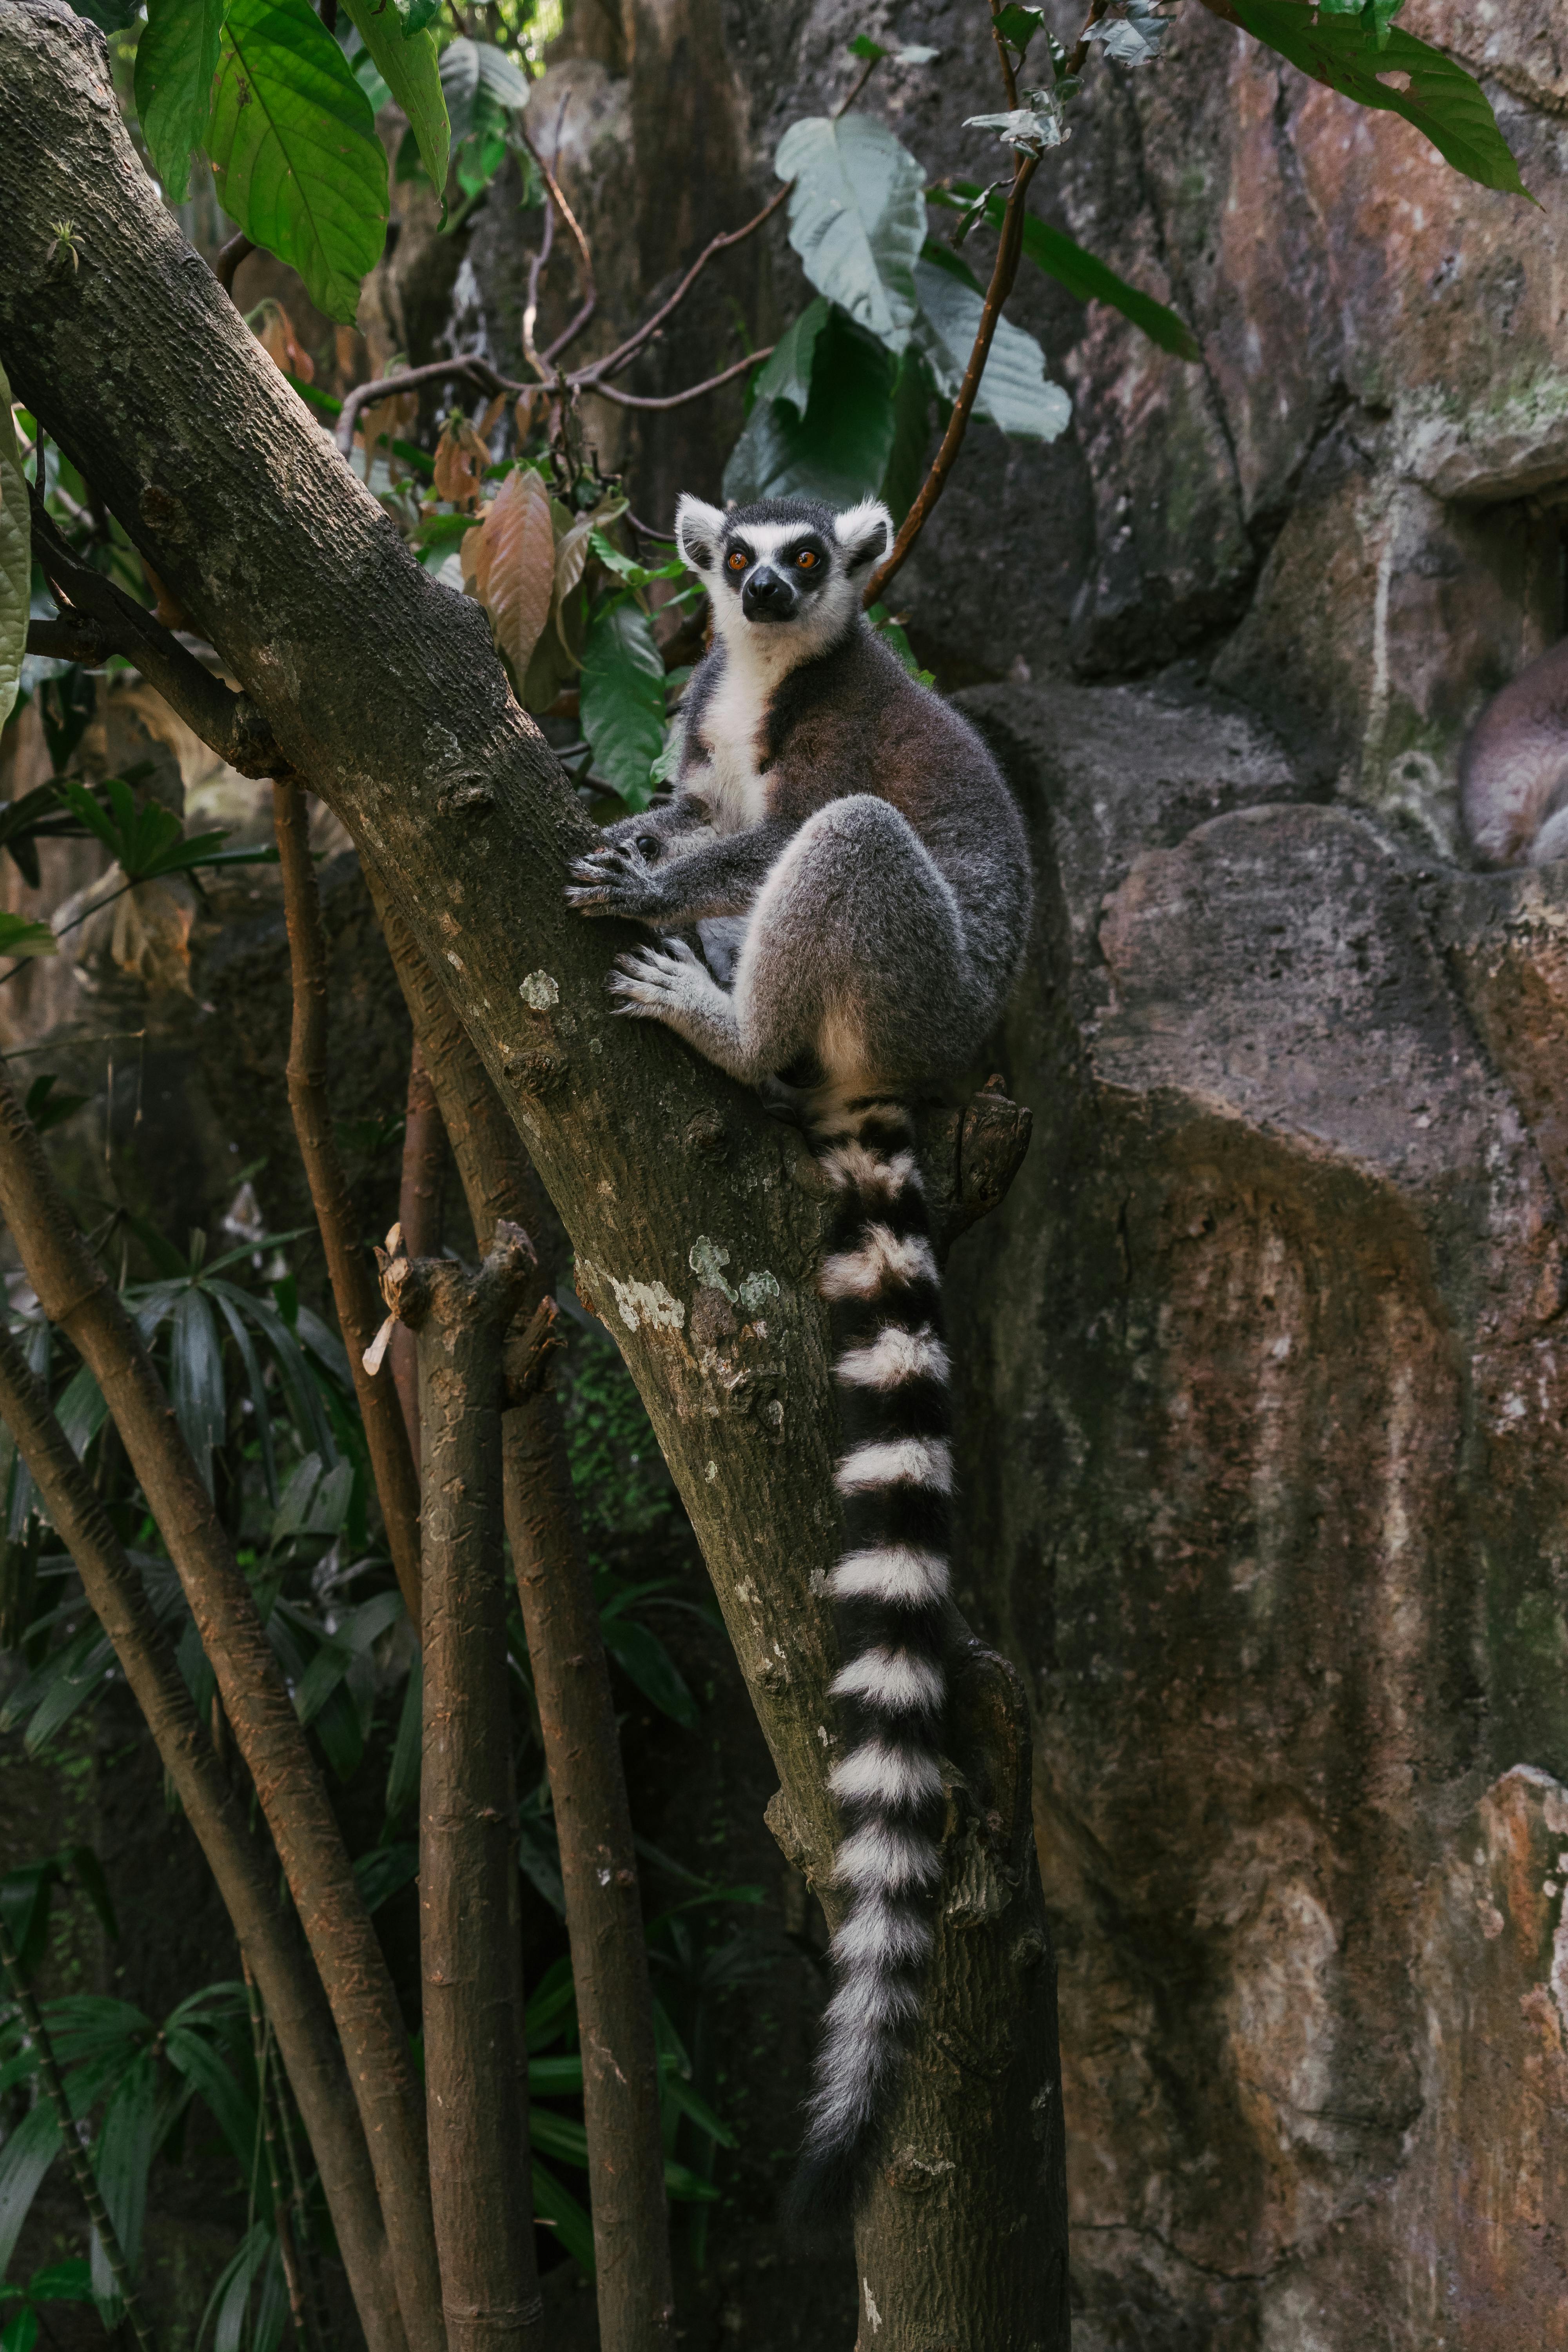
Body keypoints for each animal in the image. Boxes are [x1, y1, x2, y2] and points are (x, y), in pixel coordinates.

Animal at [564, 491, 1033, 2215]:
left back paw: (736, 1036)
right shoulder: (709, 720)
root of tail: (930, 1060)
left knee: (843, 850)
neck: (768, 680)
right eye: (739, 556)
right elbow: (694, 798)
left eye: (812, 559)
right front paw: (640, 829)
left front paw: (649, 879)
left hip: (908, 966)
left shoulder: (819, 739)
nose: (764, 586)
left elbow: (771, 834)